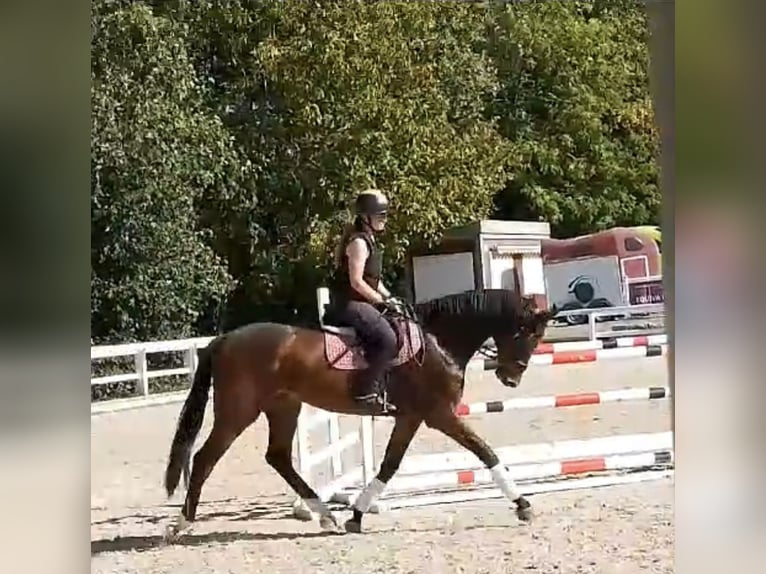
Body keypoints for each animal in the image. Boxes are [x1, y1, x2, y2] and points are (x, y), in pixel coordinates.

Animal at [164, 290, 560, 536]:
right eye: (527, 333)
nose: (511, 378)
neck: (438, 342)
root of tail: (224, 339)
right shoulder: (440, 415)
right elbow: (485, 451)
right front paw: (523, 504)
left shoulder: (411, 417)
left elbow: (389, 465)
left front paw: (356, 514)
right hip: (238, 411)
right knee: (204, 459)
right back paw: (182, 524)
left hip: (284, 407)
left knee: (278, 458)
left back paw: (326, 516)